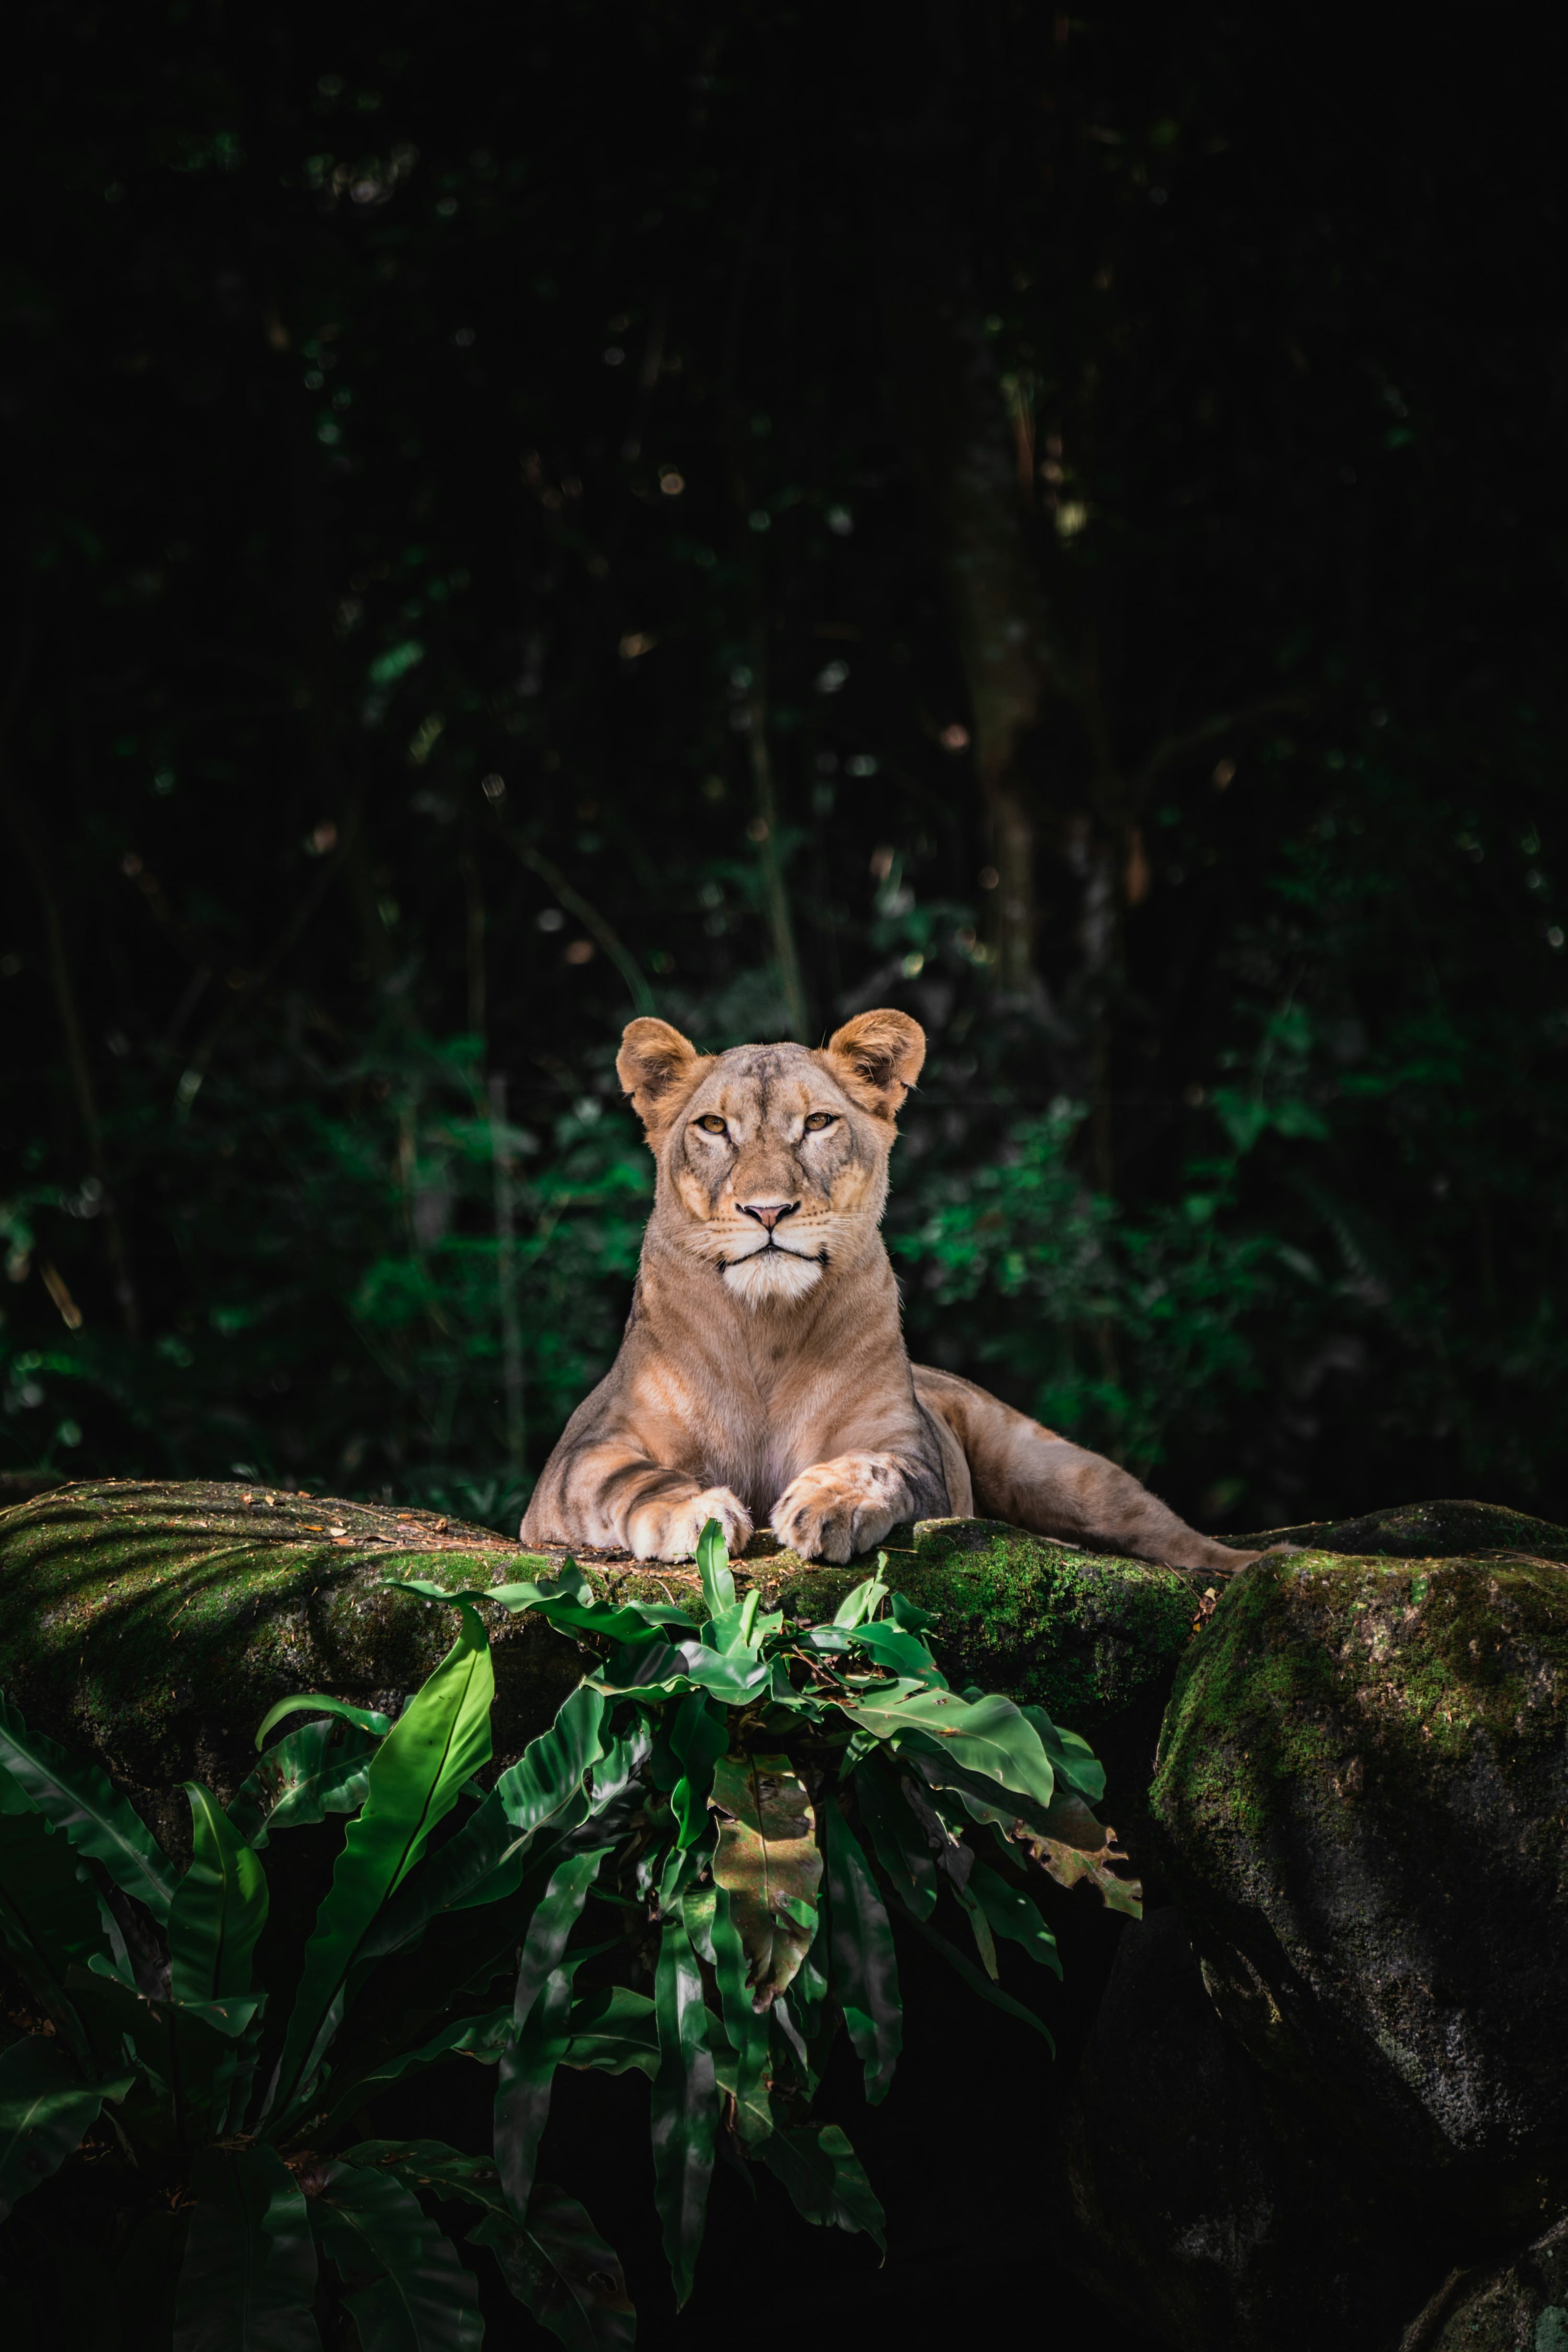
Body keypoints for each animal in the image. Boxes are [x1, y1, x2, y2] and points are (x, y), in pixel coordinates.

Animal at [520, 1009, 1260, 1574]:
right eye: (713, 1127)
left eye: (818, 1123)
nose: (767, 1210)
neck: (764, 1329)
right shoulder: (578, 1457)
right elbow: (630, 1478)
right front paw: (694, 1514)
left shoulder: (910, 1448)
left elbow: (876, 1468)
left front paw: (828, 1505)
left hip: (1060, 1473)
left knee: (1169, 1533)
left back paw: (1259, 1566)